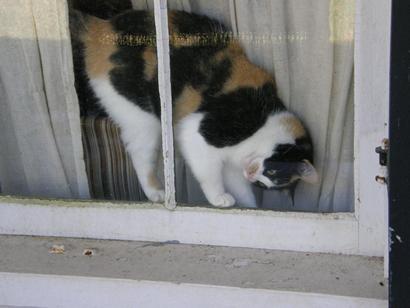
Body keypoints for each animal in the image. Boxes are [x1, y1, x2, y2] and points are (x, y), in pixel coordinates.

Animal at [70, 9, 318, 207]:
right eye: (272, 170)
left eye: (264, 183)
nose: (251, 174)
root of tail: (101, 26)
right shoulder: (202, 131)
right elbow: (209, 174)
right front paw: (219, 198)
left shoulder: (232, 167)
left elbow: (240, 188)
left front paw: (249, 209)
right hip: (143, 117)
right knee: (140, 155)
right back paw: (158, 192)